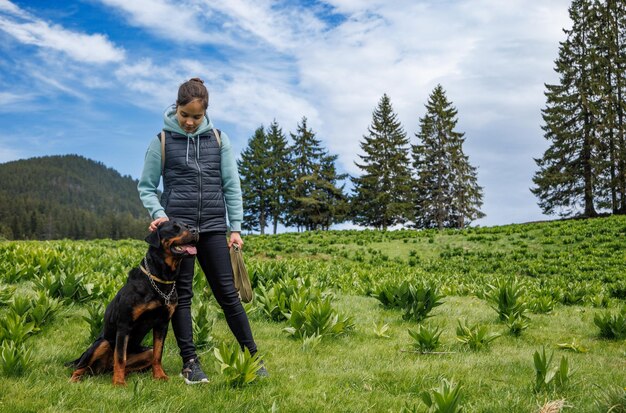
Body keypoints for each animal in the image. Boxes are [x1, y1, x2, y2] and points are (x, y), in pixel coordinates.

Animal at [68, 220, 196, 384]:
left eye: (187, 226)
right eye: (174, 228)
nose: (196, 230)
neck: (162, 278)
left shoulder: (162, 324)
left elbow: (158, 354)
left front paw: (159, 375)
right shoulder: (124, 324)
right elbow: (120, 357)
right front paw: (118, 382)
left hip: (145, 351)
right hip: (102, 343)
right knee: (81, 367)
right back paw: (75, 380)